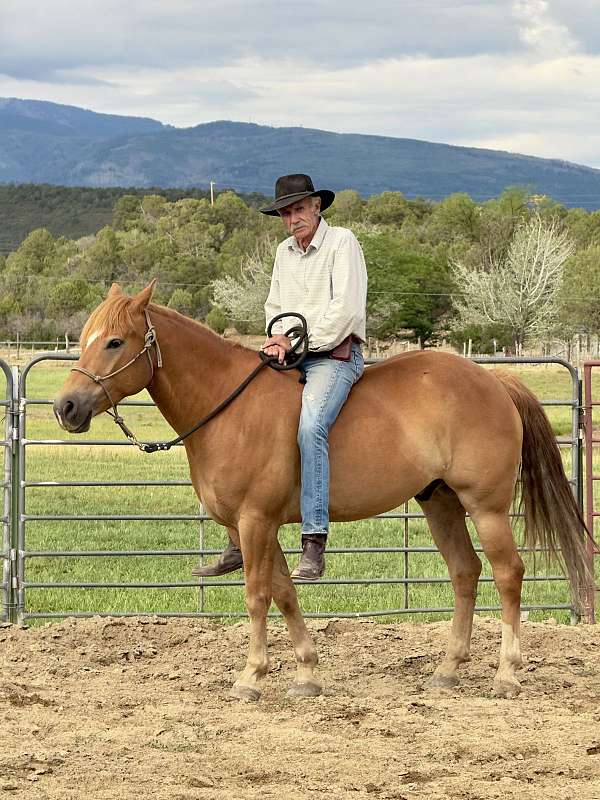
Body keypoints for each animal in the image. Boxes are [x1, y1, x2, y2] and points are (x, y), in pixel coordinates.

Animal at [53, 281, 589, 701]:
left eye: (115, 342)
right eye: (86, 339)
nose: (66, 407)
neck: (229, 407)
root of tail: (493, 379)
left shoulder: (255, 521)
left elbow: (257, 596)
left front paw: (250, 677)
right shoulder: (257, 528)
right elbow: (285, 594)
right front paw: (307, 674)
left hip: (486, 506)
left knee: (507, 574)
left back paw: (507, 674)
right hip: (439, 502)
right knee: (465, 572)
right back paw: (447, 670)